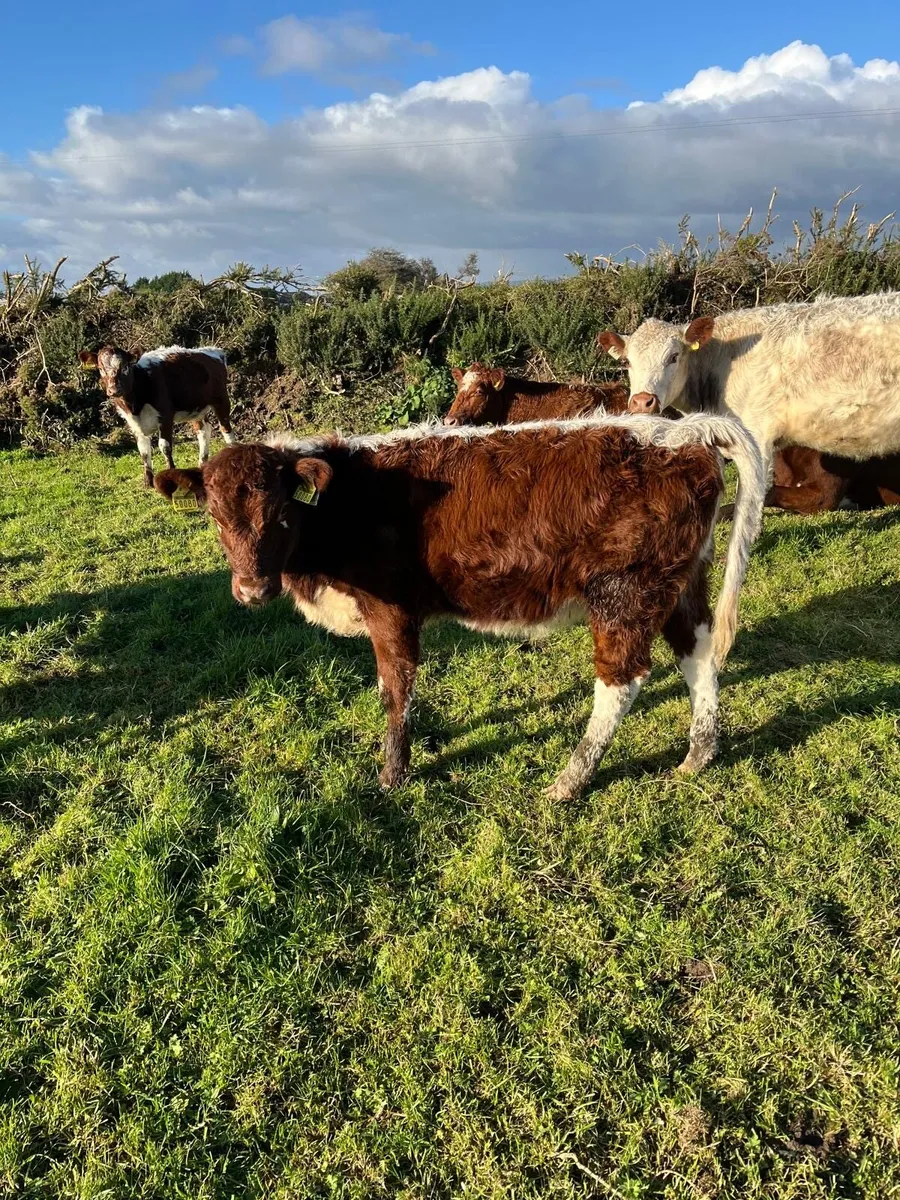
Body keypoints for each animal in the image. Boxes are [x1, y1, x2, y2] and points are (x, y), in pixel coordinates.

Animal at [79, 344, 235, 487]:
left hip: (221, 400)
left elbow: (165, 446)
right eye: (100, 369)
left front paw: (170, 474)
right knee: (204, 431)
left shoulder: (165, 416)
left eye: (125, 367)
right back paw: (202, 464)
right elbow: (143, 450)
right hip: (196, 409)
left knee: (226, 430)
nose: (114, 390)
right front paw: (148, 481)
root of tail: (213, 351)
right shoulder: (133, 423)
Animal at [154, 414, 764, 799]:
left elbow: (395, 690)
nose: (252, 591)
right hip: (681, 584)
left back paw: (569, 781)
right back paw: (699, 755)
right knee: (698, 656)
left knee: (621, 680)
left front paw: (392, 775)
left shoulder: (391, 611)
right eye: (214, 515)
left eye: (280, 513)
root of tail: (686, 431)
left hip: (625, 593)